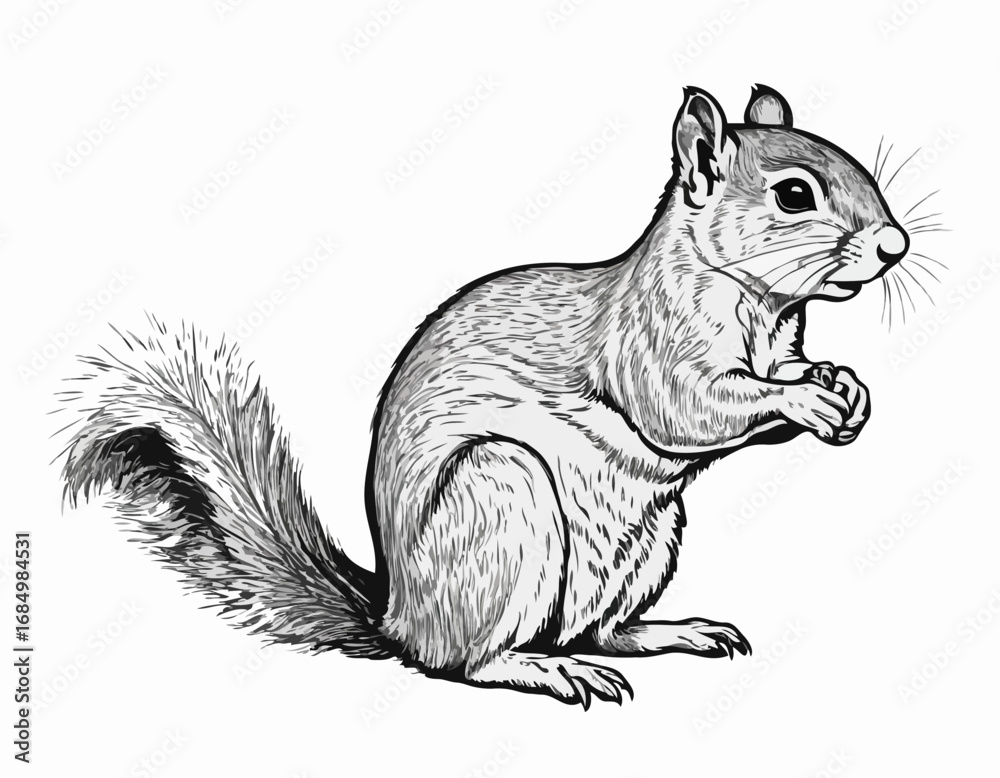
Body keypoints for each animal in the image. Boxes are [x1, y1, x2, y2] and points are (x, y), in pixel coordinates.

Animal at [60, 85, 909, 708]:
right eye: (793, 195)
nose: (894, 245)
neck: (757, 303)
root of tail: (398, 617)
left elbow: (790, 374)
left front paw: (844, 387)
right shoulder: (651, 349)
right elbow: (692, 409)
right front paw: (806, 403)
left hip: (651, 539)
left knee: (598, 631)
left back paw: (670, 633)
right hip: (502, 493)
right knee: (469, 662)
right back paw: (547, 670)